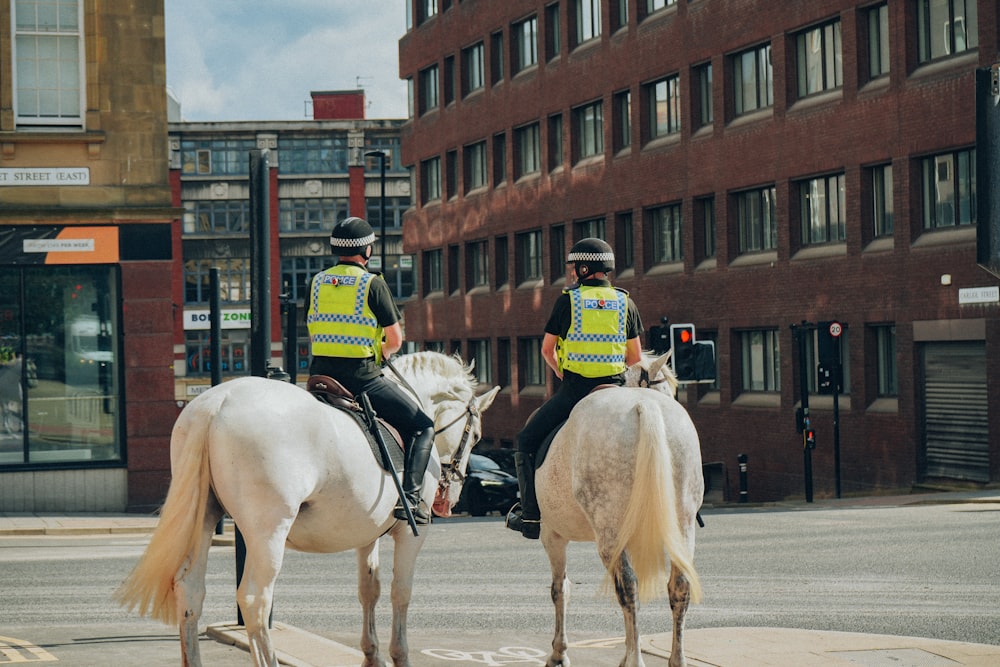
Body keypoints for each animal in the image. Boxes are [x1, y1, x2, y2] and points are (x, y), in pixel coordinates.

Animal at [115, 350, 498, 667]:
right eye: (477, 435)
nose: (451, 497)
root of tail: (217, 403)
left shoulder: (366, 533)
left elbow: (369, 590)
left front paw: (371, 654)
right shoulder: (410, 534)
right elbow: (400, 592)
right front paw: (398, 655)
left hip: (205, 516)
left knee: (190, 589)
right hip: (268, 530)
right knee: (255, 600)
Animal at [540, 352, 704, 664]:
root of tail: (645, 406)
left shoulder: (553, 533)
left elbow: (560, 589)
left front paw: (558, 652)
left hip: (608, 531)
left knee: (628, 588)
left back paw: (635, 661)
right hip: (683, 525)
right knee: (679, 587)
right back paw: (675, 659)